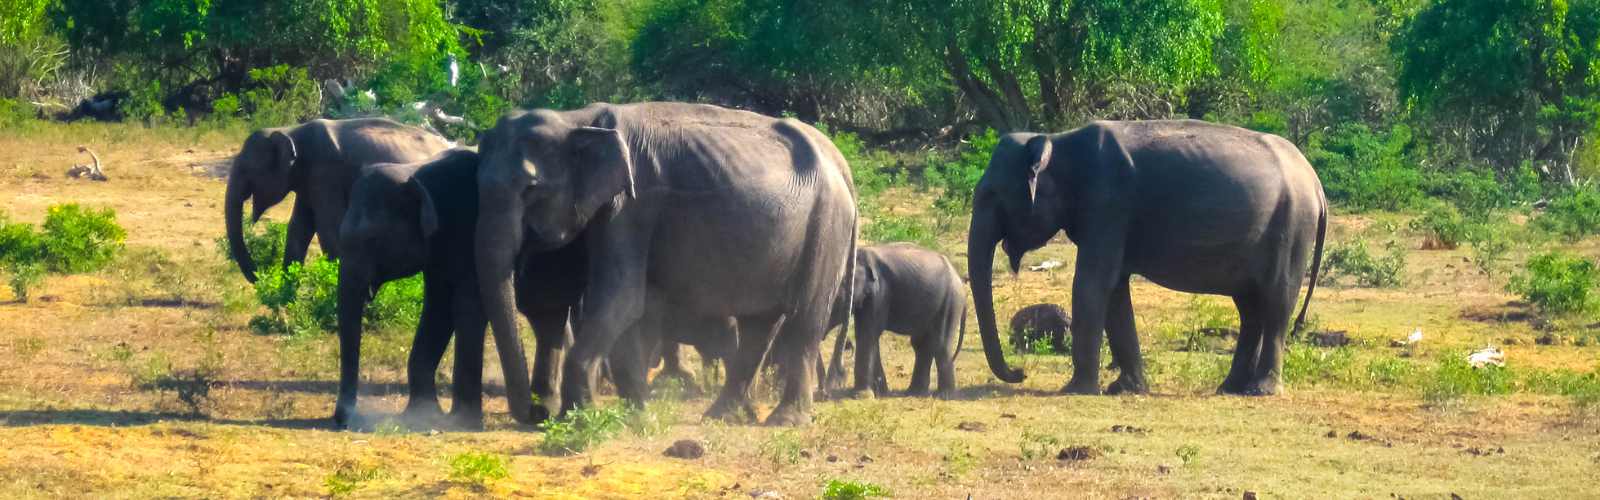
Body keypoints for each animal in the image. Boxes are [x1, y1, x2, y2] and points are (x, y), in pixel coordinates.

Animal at [225, 115, 454, 283]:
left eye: (246, 170)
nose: (259, 276)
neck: (290, 130)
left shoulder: (325, 173)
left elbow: (328, 229)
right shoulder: (308, 181)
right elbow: (298, 229)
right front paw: (285, 297)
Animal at [336, 148, 588, 429]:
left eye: (372, 240)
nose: (343, 420)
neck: (416, 173)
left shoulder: (466, 230)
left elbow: (466, 306)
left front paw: (462, 421)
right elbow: (438, 308)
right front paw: (422, 414)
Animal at [470, 102, 857, 426]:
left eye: (530, 189)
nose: (536, 415)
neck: (577, 119)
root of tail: (841, 163)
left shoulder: (631, 205)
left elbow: (621, 296)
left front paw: (578, 418)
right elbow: (624, 306)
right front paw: (639, 415)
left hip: (826, 226)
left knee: (805, 320)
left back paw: (784, 420)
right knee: (760, 325)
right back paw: (719, 416)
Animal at [832, 241, 966, 399]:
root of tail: (959, 279)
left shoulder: (880, 293)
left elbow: (867, 334)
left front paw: (862, 396)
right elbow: (869, 335)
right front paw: (881, 393)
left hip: (949, 301)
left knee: (940, 343)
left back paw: (943, 396)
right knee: (921, 344)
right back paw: (915, 392)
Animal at [966, 119, 1331, 395]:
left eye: (992, 194)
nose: (1020, 372)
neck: (1057, 140)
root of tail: (1317, 184)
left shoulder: (1109, 202)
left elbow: (1092, 283)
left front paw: (1075, 390)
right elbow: (1114, 291)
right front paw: (1125, 389)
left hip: (1292, 228)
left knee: (1276, 302)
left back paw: (1261, 390)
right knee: (1250, 308)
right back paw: (1230, 388)